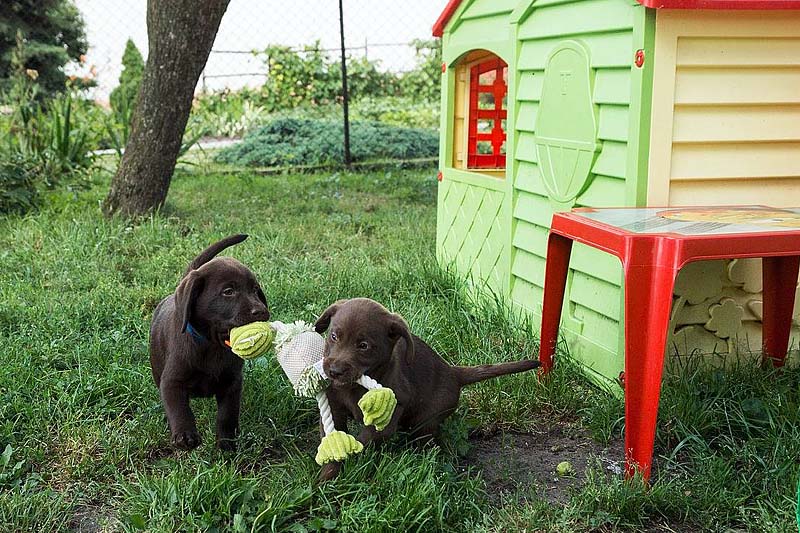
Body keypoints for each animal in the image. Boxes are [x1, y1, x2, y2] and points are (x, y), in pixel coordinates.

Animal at [312, 300, 536, 478]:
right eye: (334, 336)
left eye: (364, 345)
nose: (334, 371)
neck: (353, 386)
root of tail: (454, 373)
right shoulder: (333, 408)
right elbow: (332, 438)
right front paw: (326, 479)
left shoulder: (392, 413)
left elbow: (365, 439)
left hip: (427, 419)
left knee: (428, 441)